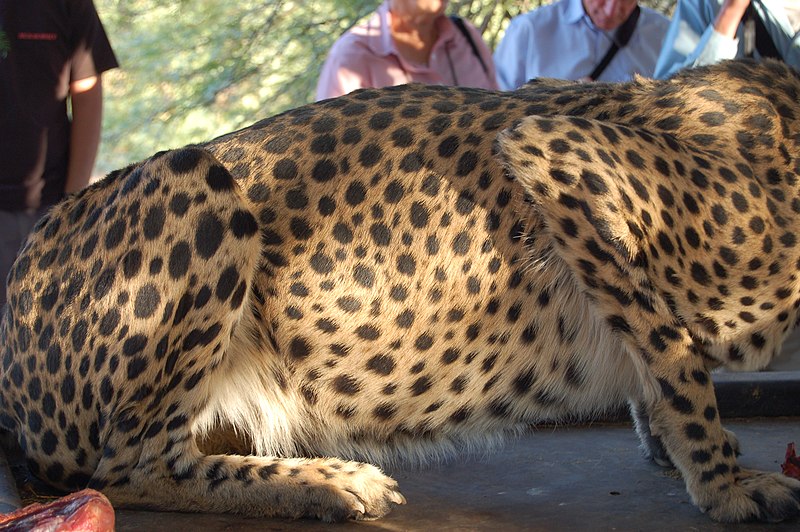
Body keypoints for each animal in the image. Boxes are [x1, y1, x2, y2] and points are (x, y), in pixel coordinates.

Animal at [1, 59, 800, 524]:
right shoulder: (551, 149)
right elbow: (677, 359)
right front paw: (725, 484)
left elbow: (655, 358)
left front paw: (675, 444)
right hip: (192, 179)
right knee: (127, 467)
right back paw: (323, 484)